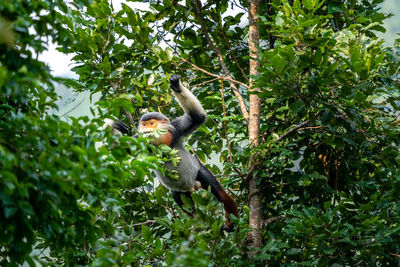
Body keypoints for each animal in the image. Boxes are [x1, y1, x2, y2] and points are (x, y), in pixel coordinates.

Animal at [105, 75, 238, 232]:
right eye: (143, 125)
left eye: (151, 123)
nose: (145, 129)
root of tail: (192, 186)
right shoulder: (140, 141)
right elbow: (116, 149)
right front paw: (113, 123)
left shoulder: (177, 128)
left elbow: (197, 117)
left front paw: (176, 85)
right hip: (181, 192)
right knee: (187, 206)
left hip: (198, 172)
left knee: (219, 193)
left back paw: (231, 224)